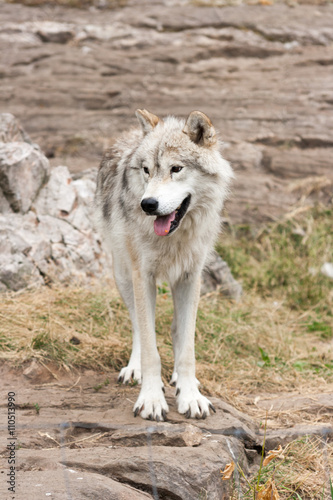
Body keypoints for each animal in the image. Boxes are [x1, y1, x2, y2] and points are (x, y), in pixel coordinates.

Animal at [94, 110, 232, 422]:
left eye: (176, 169)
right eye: (146, 170)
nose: (148, 204)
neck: (173, 239)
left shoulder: (191, 277)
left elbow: (187, 348)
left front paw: (190, 396)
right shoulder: (142, 276)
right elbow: (150, 347)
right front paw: (151, 399)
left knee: (176, 330)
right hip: (123, 275)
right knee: (138, 326)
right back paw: (134, 370)